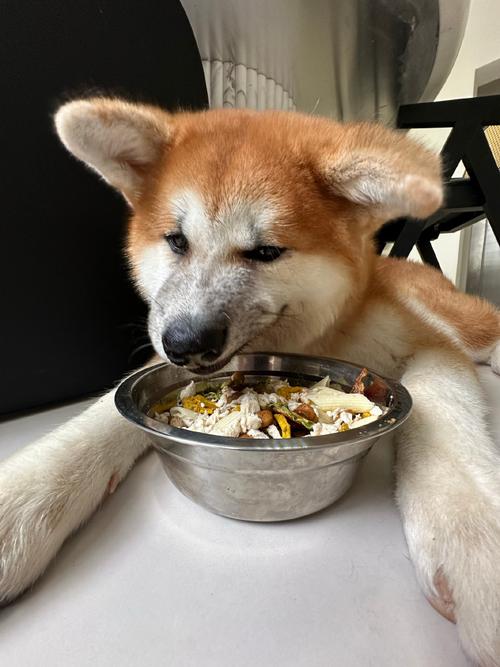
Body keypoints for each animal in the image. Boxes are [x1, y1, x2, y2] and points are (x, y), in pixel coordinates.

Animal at [1, 98, 500, 666]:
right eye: (176, 241)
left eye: (265, 252)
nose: (184, 341)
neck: (322, 336)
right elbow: (101, 417)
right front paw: (22, 494)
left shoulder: (430, 346)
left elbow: (441, 411)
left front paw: (471, 541)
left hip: (452, 316)